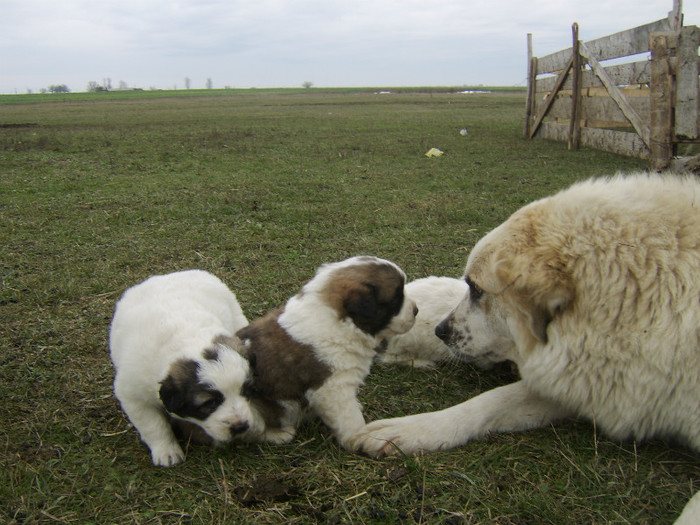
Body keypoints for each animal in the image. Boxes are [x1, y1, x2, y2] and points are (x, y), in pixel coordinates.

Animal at [235, 256, 416, 448]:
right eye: (396, 299)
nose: (416, 310)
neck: (341, 322)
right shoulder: (333, 387)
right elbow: (348, 417)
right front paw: (359, 436)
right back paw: (278, 434)